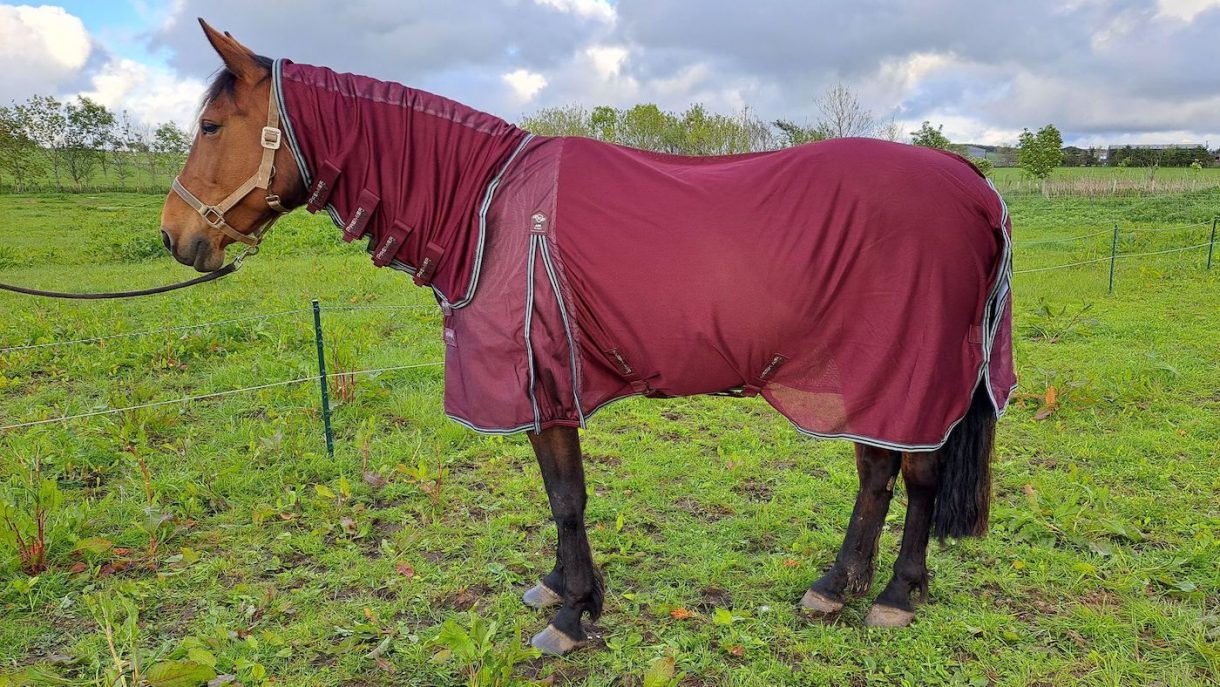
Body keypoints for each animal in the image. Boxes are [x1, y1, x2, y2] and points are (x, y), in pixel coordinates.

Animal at [160, 20, 1016, 656]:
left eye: (210, 125)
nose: (175, 238)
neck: (489, 209)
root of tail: (970, 179)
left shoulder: (543, 385)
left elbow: (567, 496)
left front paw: (572, 612)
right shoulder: (547, 391)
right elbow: (558, 496)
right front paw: (562, 588)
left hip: (909, 374)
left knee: (917, 477)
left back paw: (896, 594)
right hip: (865, 375)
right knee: (876, 472)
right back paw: (835, 587)